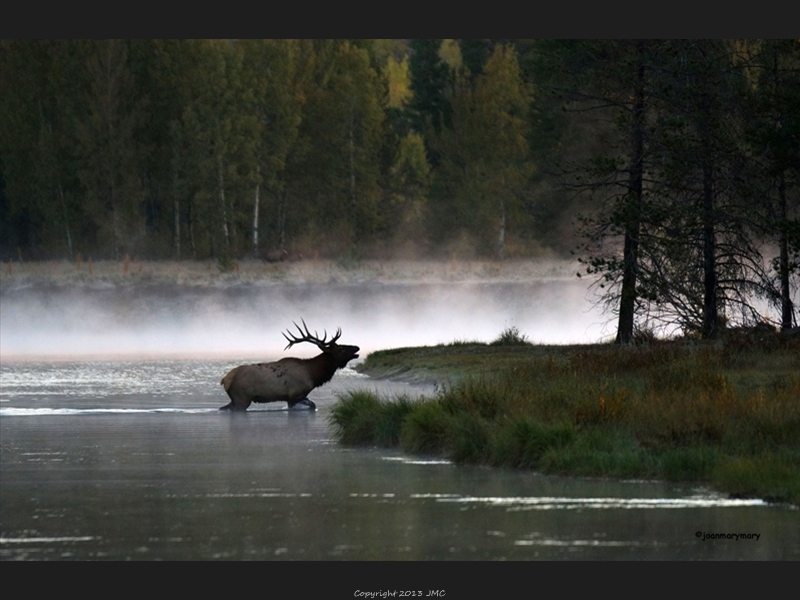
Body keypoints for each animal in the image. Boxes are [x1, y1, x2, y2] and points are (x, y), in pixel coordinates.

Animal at [217, 318, 358, 412]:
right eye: (341, 349)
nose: (357, 347)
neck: (312, 374)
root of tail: (225, 379)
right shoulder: (295, 394)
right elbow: (312, 405)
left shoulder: (291, 397)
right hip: (242, 398)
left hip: (235, 399)